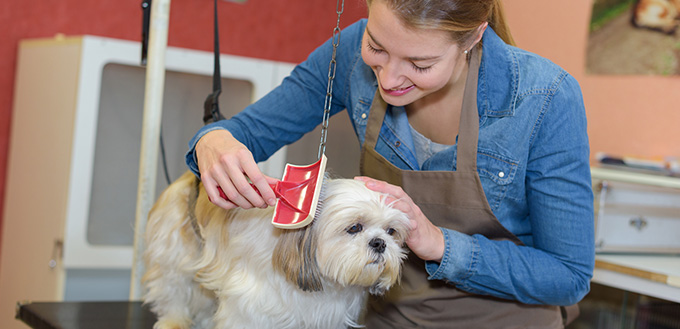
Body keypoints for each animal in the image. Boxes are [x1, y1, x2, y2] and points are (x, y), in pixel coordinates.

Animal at [143, 170, 410, 326]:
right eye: (354, 227)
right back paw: (173, 321)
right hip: (173, 259)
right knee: (173, 293)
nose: (379, 243)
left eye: (391, 231)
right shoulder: (250, 306)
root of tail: (191, 175)